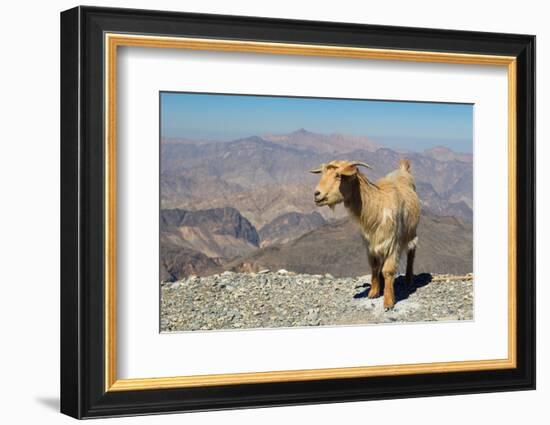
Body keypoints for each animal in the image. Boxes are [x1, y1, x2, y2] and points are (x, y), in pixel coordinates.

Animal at [310, 159, 422, 308]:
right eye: (322, 173)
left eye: (338, 175)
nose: (317, 194)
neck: (376, 206)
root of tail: (403, 170)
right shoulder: (370, 244)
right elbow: (374, 267)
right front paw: (373, 292)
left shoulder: (392, 243)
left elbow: (388, 271)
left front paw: (388, 302)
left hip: (412, 232)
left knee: (411, 253)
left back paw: (409, 280)